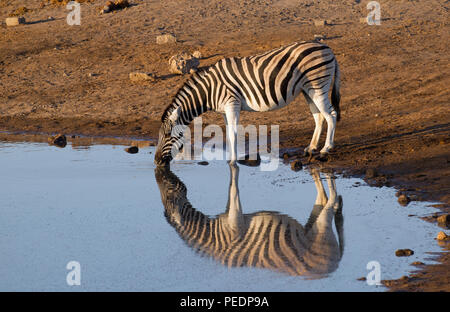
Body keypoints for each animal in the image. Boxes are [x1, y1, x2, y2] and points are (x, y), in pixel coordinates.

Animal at [153, 41, 340, 168]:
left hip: (318, 86)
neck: (209, 90)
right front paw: (229, 158)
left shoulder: (232, 104)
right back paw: (311, 148)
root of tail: (327, 48)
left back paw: (325, 149)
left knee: (331, 115)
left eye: (168, 135)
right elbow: (228, 132)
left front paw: (233, 162)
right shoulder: (224, 110)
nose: (156, 161)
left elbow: (234, 133)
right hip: (307, 90)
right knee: (319, 117)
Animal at [155, 165, 344, 276]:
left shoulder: (235, 221)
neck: (214, 235)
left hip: (323, 229)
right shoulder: (228, 213)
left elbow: (234, 193)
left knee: (331, 202)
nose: (159, 168)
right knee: (323, 201)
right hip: (312, 227)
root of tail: (336, 264)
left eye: (169, 192)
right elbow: (230, 192)